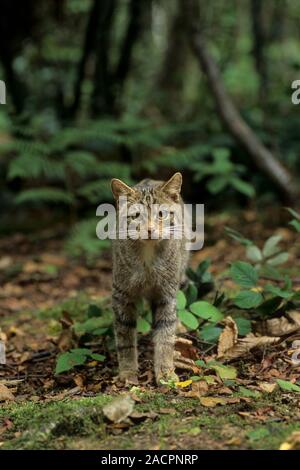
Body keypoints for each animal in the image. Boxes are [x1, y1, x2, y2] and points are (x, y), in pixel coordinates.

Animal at [110, 173, 190, 386]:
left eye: (161, 214)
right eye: (136, 216)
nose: (149, 229)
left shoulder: (166, 294)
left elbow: (165, 334)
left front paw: (165, 372)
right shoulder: (121, 294)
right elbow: (125, 337)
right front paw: (128, 372)